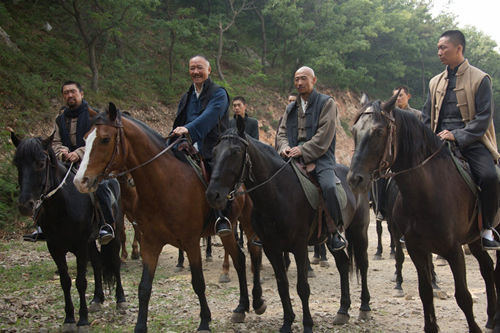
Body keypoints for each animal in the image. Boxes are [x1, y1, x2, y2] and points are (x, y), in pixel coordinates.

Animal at [11, 131, 126, 330]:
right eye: (17, 163)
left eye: (41, 163)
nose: (25, 206)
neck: (61, 206)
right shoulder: (55, 248)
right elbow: (65, 282)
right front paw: (70, 319)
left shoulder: (80, 246)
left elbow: (80, 282)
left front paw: (83, 320)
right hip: (90, 242)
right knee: (97, 263)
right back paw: (97, 299)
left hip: (115, 232)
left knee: (114, 261)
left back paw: (120, 300)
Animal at [73, 102, 266, 330]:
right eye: (85, 138)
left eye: (105, 139)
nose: (80, 181)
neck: (164, 184)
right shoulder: (151, 243)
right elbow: (144, 288)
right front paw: (140, 326)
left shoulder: (191, 242)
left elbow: (198, 283)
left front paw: (204, 322)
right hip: (228, 230)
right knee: (239, 260)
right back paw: (241, 307)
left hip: (248, 225)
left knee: (254, 254)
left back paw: (257, 301)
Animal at [348, 93, 500, 332]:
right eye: (354, 131)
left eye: (379, 132)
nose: (355, 179)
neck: (427, 191)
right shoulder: (416, 248)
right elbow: (425, 292)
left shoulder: (453, 250)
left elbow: (463, 296)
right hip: (475, 239)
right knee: (487, 268)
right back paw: (491, 318)